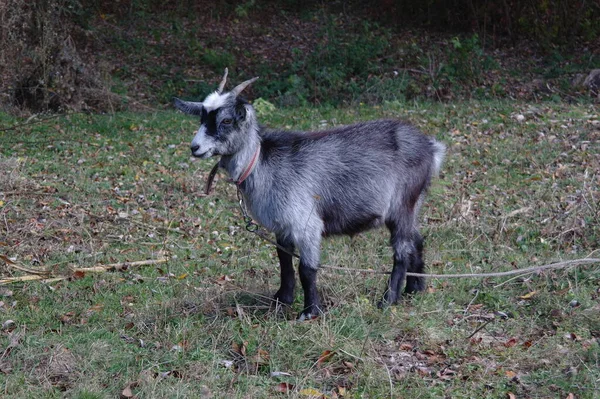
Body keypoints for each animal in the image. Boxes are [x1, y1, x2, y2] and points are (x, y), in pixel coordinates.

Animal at [173, 69, 446, 322]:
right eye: (202, 117)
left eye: (227, 120)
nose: (195, 147)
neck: (261, 162)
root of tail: (430, 147)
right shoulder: (282, 225)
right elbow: (283, 261)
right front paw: (282, 299)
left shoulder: (306, 223)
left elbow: (306, 269)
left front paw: (310, 311)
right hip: (411, 205)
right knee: (416, 241)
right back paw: (414, 289)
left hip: (402, 203)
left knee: (401, 251)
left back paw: (388, 299)